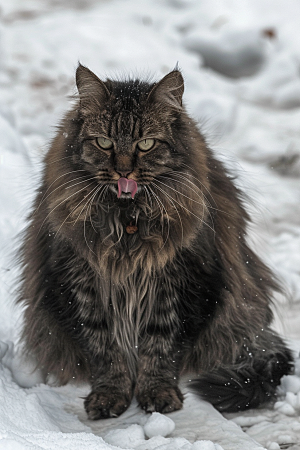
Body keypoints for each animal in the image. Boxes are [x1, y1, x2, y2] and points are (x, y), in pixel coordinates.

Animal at [17, 63, 292, 418]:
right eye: (104, 142)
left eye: (146, 143)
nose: (123, 172)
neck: (127, 220)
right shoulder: (79, 280)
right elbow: (102, 347)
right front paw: (109, 394)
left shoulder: (181, 281)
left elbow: (161, 346)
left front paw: (157, 393)